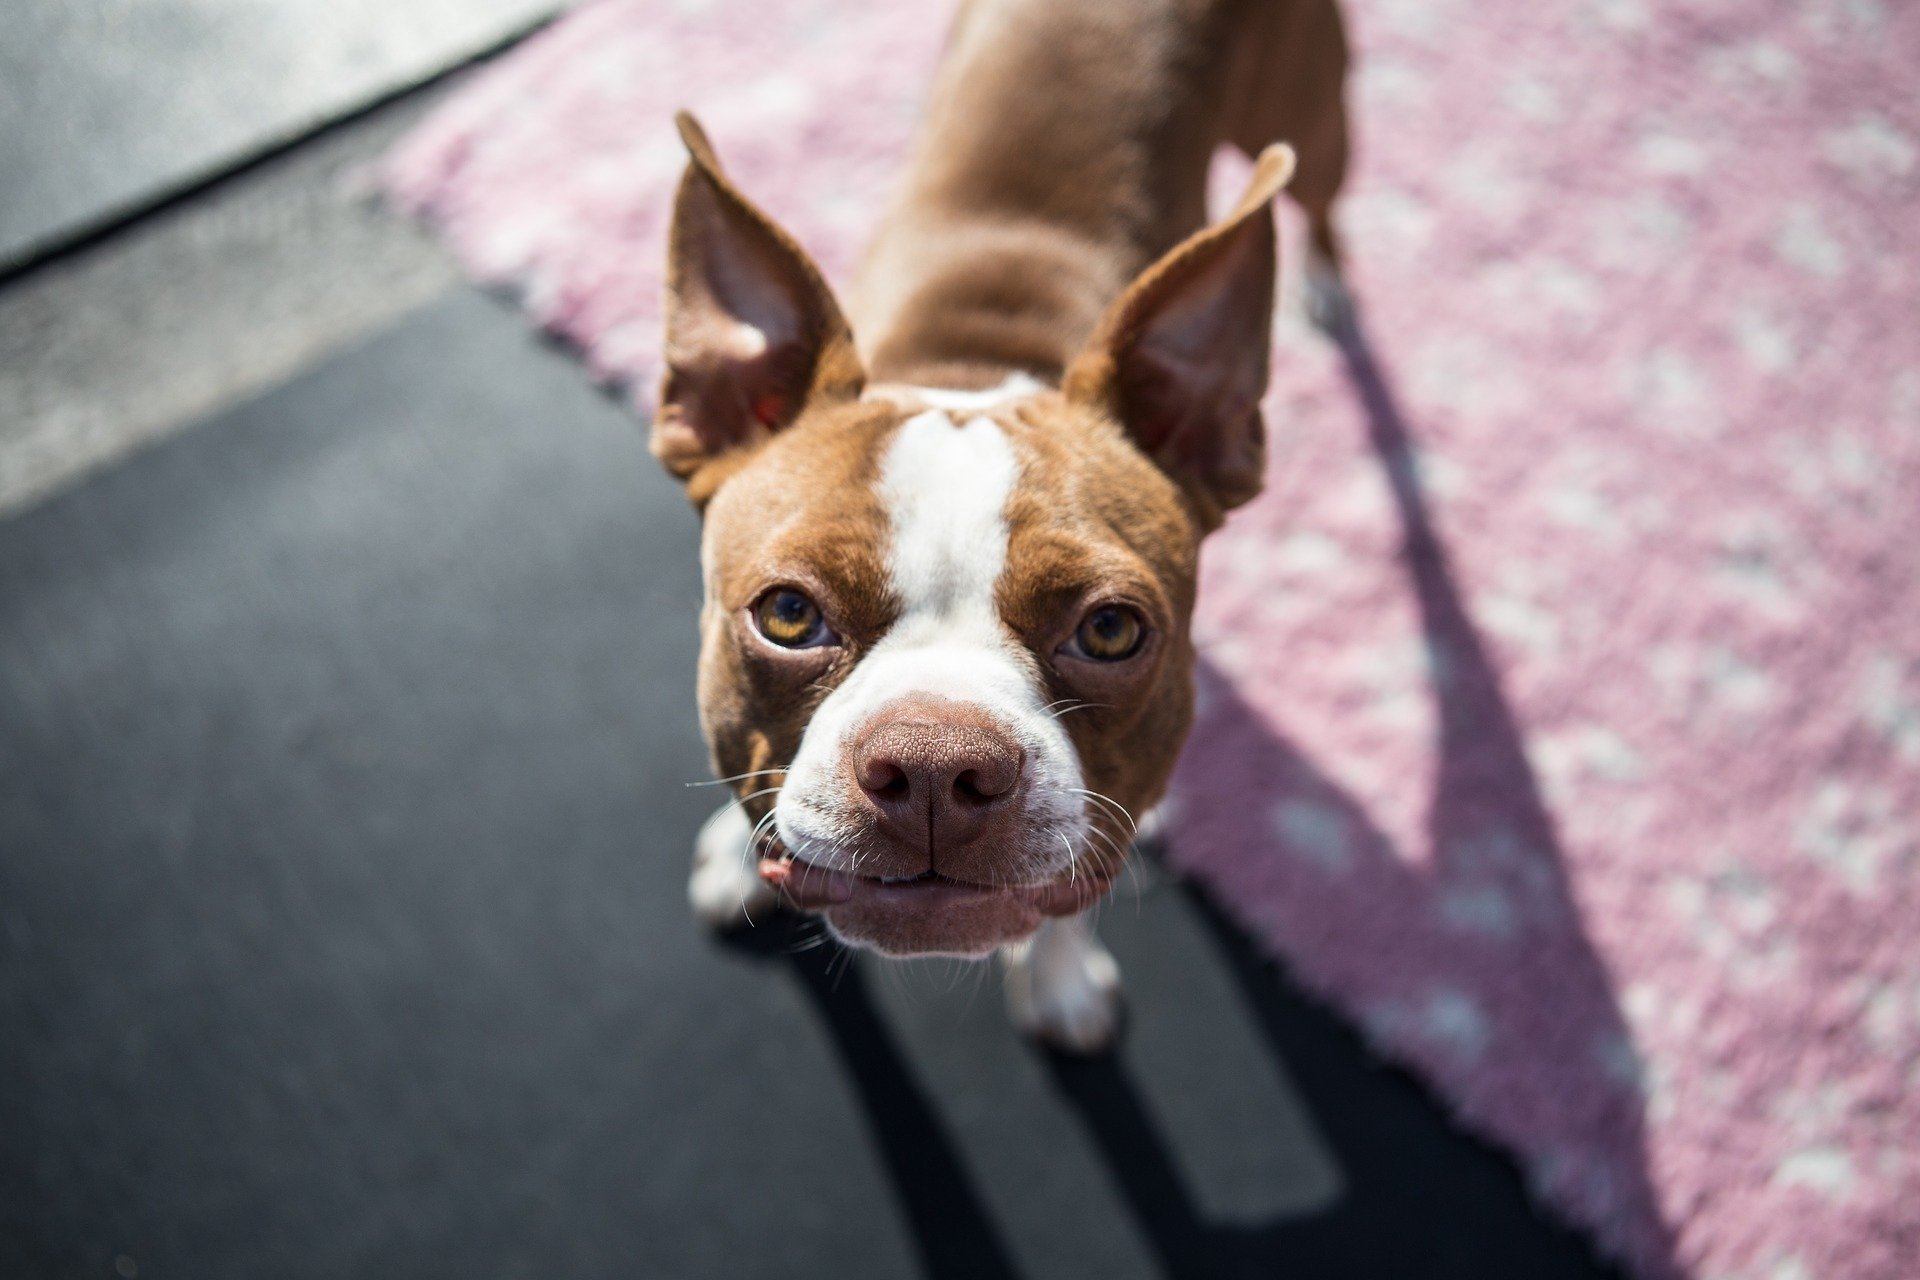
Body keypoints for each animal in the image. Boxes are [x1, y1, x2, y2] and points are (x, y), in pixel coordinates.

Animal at [660, 0, 1351, 1051]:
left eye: (1110, 630)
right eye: (787, 615)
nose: (935, 765)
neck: (973, 365)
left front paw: (1060, 982)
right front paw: (737, 855)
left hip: (1314, 118)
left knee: (1321, 201)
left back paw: (1327, 282)